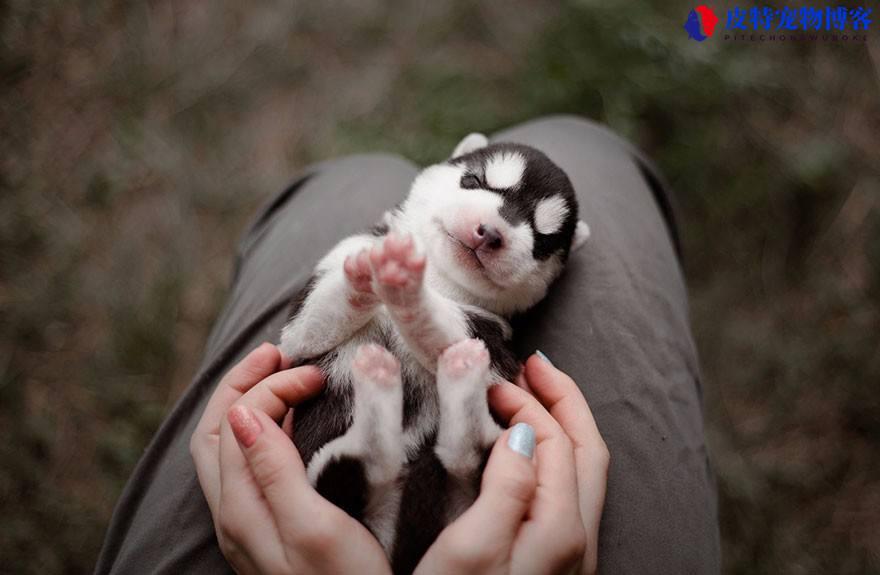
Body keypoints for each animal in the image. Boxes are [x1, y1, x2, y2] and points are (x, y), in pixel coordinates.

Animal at [278, 133, 588, 572]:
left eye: (542, 241)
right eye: (474, 181)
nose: (490, 233)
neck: (441, 278)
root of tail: (396, 546)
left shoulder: (492, 341)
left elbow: (441, 322)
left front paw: (410, 294)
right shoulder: (300, 329)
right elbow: (325, 310)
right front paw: (371, 269)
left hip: (484, 462)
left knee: (457, 453)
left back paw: (446, 380)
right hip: (324, 483)